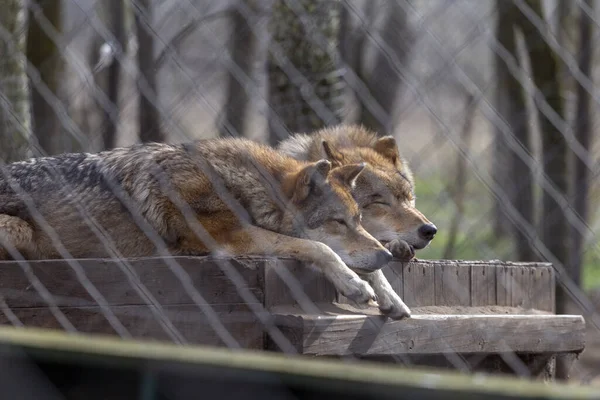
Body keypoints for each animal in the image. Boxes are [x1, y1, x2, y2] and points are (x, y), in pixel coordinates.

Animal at [0, 138, 398, 310]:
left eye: (358, 220)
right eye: (338, 222)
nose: (389, 256)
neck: (237, 184)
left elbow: (349, 258)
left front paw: (388, 294)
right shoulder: (230, 237)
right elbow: (319, 247)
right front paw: (354, 285)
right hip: (18, 230)